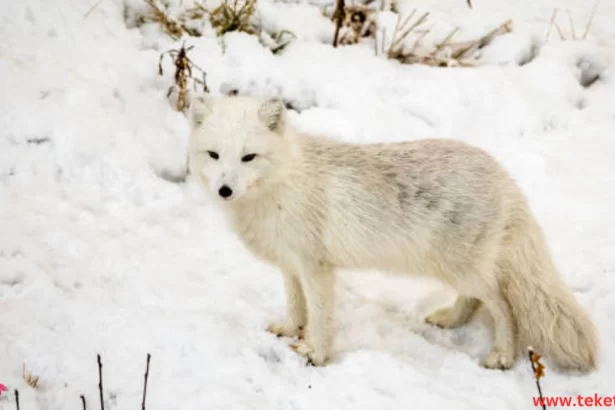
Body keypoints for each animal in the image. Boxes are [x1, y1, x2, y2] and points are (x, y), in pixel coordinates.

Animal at [186, 93, 596, 372]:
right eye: (214, 155)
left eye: (248, 157)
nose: (225, 190)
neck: (281, 183)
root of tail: (505, 177)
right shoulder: (291, 265)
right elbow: (296, 307)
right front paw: (290, 329)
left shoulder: (316, 267)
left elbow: (319, 316)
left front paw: (316, 354)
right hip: (456, 268)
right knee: (476, 301)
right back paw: (451, 320)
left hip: (461, 268)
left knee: (503, 305)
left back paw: (502, 356)